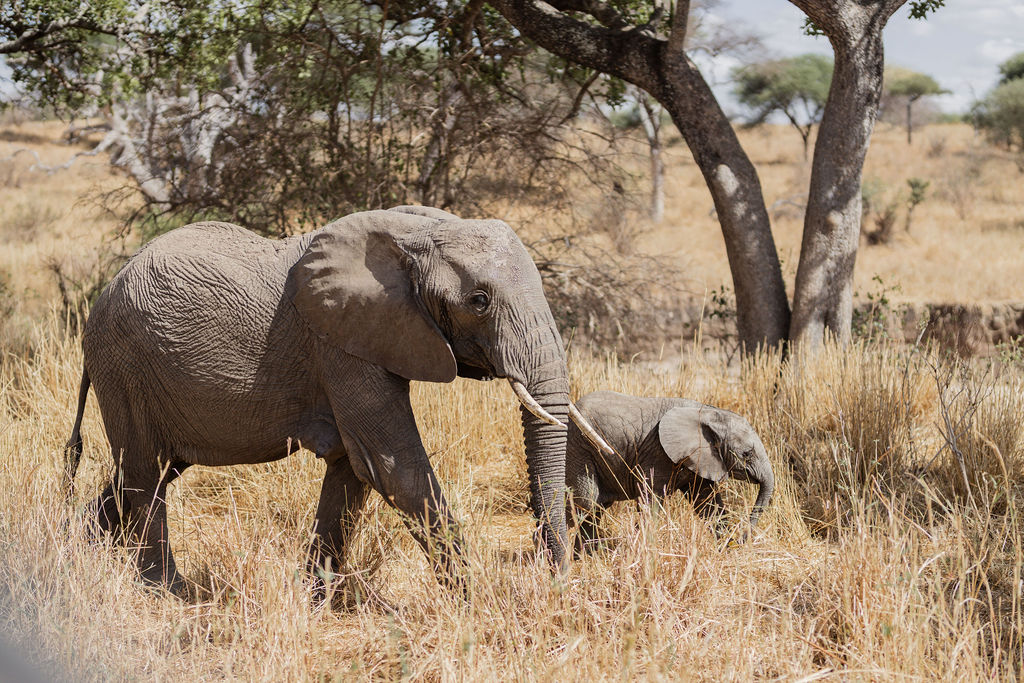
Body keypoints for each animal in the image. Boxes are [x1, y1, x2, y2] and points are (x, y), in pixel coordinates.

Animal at [63, 205, 610, 594]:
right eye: (479, 301)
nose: (558, 582)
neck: (417, 235)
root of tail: (102, 298)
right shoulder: (340, 344)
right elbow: (393, 467)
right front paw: (476, 604)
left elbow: (353, 469)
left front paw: (314, 599)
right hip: (127, 365)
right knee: (144, 472)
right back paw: (168, 594)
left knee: (142, 474)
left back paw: (73, 546)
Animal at [565, 391, 775, 552]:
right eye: (747, 454)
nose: (740, 540)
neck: (708, 412)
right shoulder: (657, 453)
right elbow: (650, 501)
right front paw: (645, 553)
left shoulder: (699, 459)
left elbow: (707, 503)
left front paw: (726, 549)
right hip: (579, 449)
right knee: (585, 502)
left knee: (594, 509)